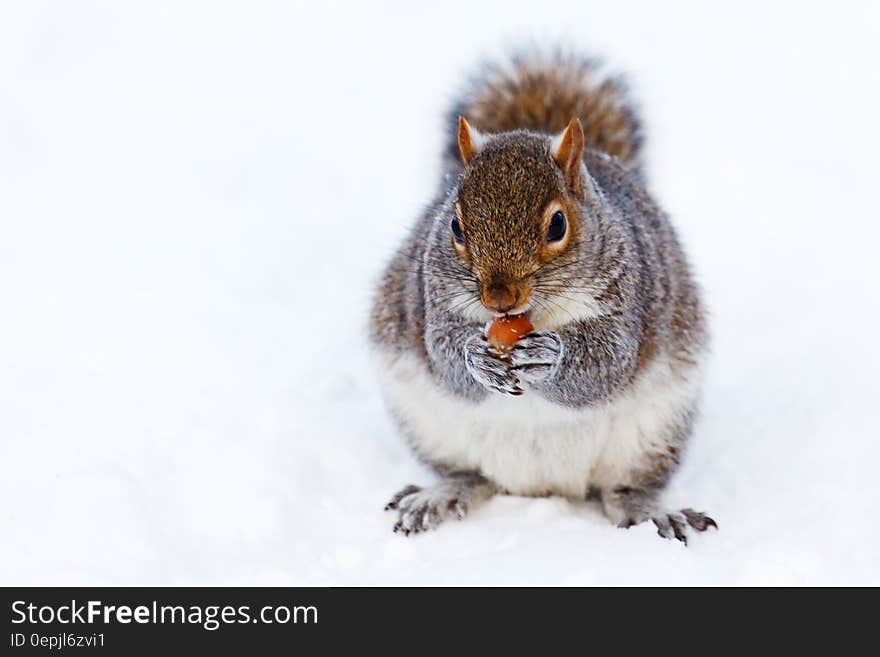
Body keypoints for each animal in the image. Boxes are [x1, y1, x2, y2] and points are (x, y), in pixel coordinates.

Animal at [368, 52, 720, 544]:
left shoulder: (630, 298)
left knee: (624, 489)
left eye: (557, 224)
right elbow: (443, 354)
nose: (499, 299)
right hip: (429, 425)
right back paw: (439, 495)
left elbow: (607, 364)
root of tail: (541, 486)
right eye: (455, 225)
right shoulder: (430, 297)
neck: (532, 315)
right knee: (469, 475)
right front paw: (475, 356)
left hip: (653, 434)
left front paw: (549, 357)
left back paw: (651, 512)